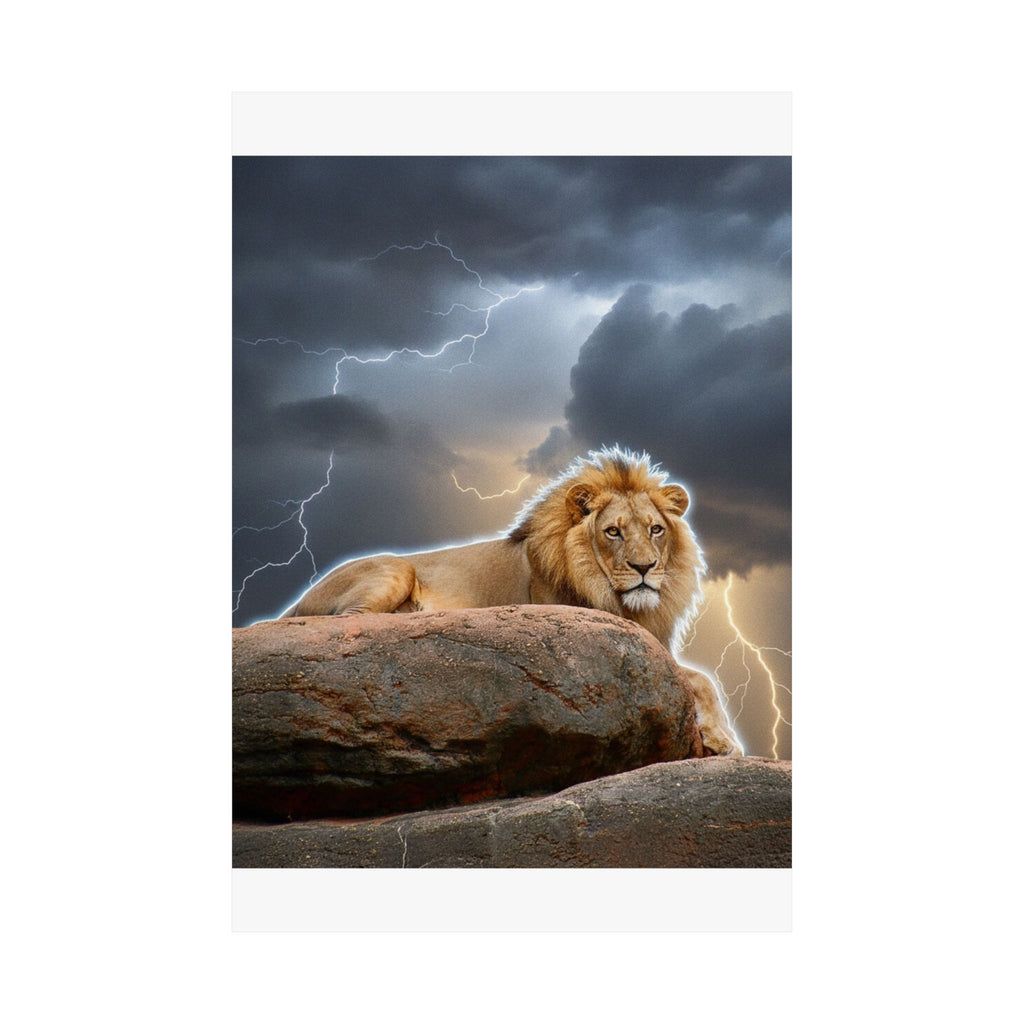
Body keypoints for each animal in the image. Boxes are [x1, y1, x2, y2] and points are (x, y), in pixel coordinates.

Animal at [282, 447, 742, 755]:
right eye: (613, 531)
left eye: (655, 530)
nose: (645, 567)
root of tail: (299, 598)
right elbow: (697, 677)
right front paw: (725, 740)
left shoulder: (654, 641)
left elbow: (704, 678)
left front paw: (722, 739)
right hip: (395, 570)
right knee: (351, 622)